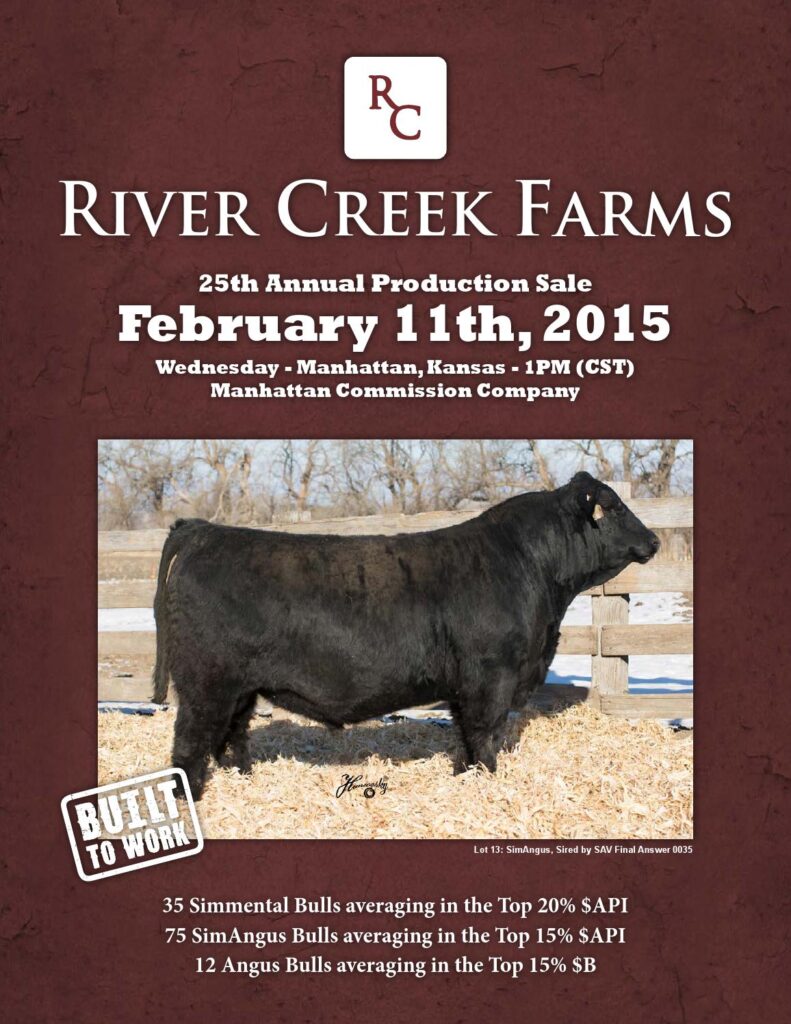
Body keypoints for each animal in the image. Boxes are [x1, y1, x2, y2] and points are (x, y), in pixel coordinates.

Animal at [151, 472, 660, 799]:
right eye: (614, 507)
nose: (654, 540)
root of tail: (202, 530)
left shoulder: (465, 685)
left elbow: (466, 734)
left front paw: (465, 776)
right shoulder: (491, 676)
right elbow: (485, 733)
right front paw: (487, 781)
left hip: (240, 688)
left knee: (231, 735)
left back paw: (243, 778)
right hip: (206, 682)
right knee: (190, 741)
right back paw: (188, 798)